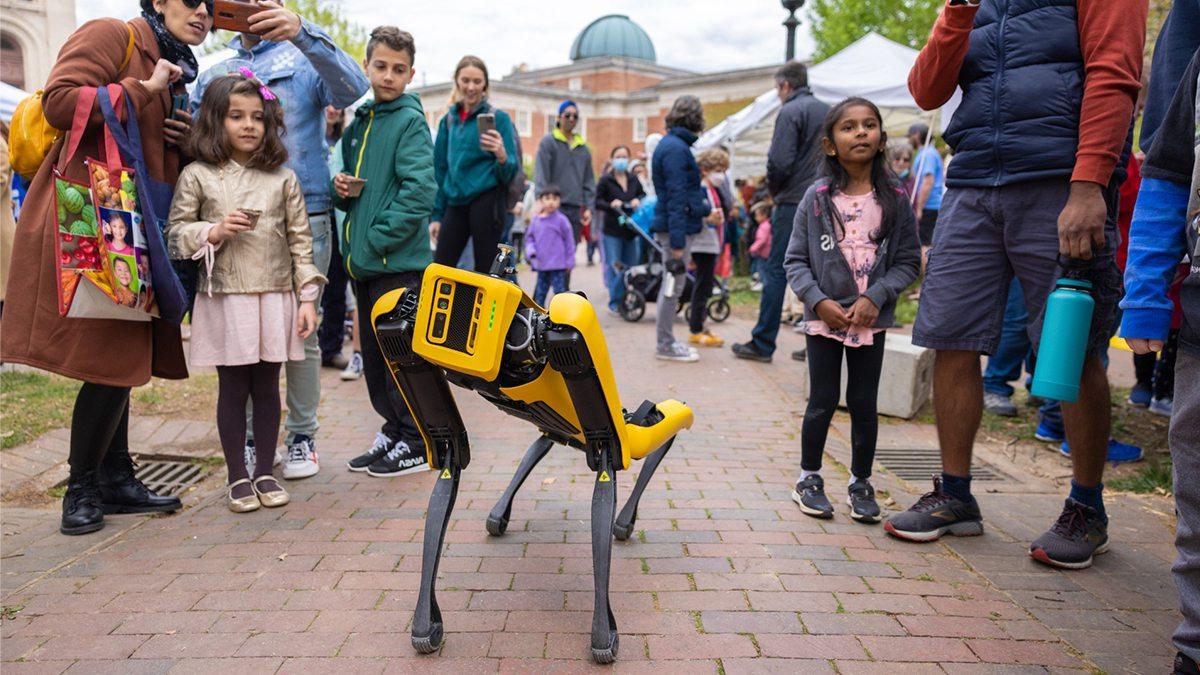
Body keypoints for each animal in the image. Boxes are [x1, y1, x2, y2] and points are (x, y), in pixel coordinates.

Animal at [369, 243, 691, 658]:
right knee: (549, 439)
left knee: (661, 423)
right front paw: (426, 622)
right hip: (572, 429)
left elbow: (607, 466)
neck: (520, 332)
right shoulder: (392, 324)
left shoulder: (572, 331)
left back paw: (624, 516)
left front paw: (604, 633)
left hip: (621, 423)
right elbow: (450, 457)